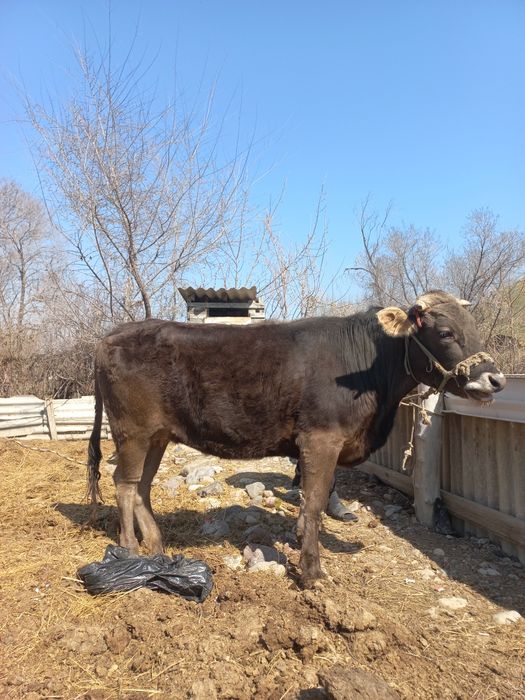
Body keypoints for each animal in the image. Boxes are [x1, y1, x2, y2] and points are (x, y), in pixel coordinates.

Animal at [87, 290, 506, 585]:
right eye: (445, 332)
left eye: (474, 328)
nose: (496, 379)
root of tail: (110, 336)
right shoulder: (321, 438)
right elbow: (316, 501)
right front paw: (312, 571)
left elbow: (312, 501)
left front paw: (303, 541)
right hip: (132, 431)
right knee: (124, 484)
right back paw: (130, 552)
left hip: (157, 435)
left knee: (141, 487)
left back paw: (156, 546)